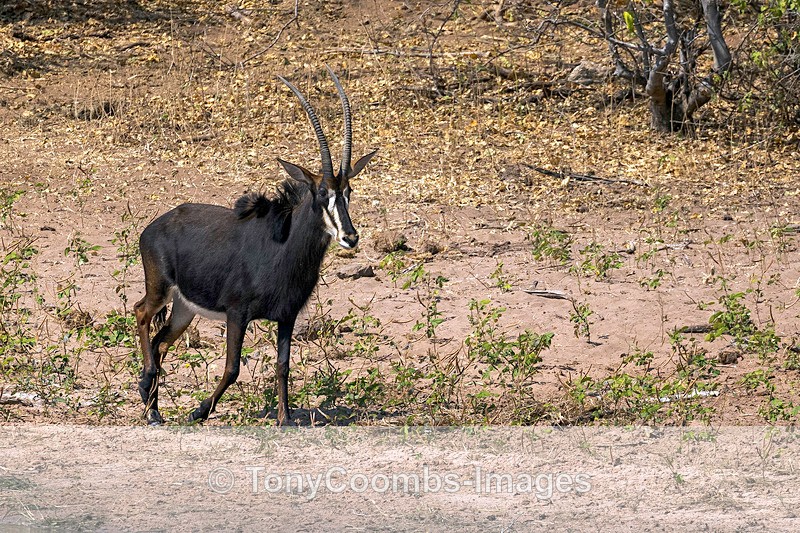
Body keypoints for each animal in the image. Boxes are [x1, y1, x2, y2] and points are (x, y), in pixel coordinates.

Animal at [133, 67, 377, 426]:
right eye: (321, 193)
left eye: (348, 192)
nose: (350, 236)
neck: (282, 249)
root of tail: (153, 227)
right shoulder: (238, 313)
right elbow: (233, 369)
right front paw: (199, 411)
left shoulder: (288, 316)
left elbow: (283, 366)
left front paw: (285, 419)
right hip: (160, 289)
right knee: (141, 313)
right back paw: (148, 395)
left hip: (184, 308)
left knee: (161, 341)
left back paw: (153, 408)